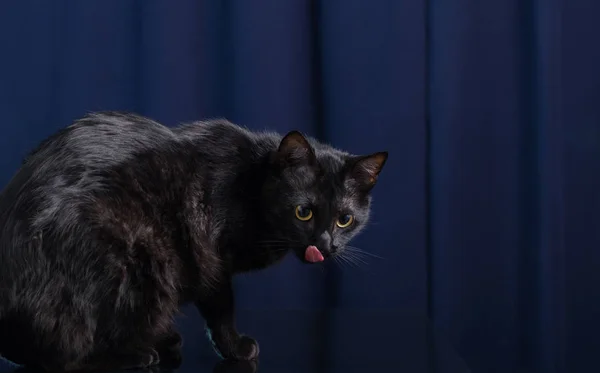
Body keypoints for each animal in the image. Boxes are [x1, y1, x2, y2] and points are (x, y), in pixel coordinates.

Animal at [0, 112, 386, 370]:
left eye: (344, 219)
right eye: (303, 212)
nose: (325, 244)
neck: (250, 181)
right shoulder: (210, 257)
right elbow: (222, 308)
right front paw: (234, 348)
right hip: (138, 259)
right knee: (68, 348)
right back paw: (135, 353)